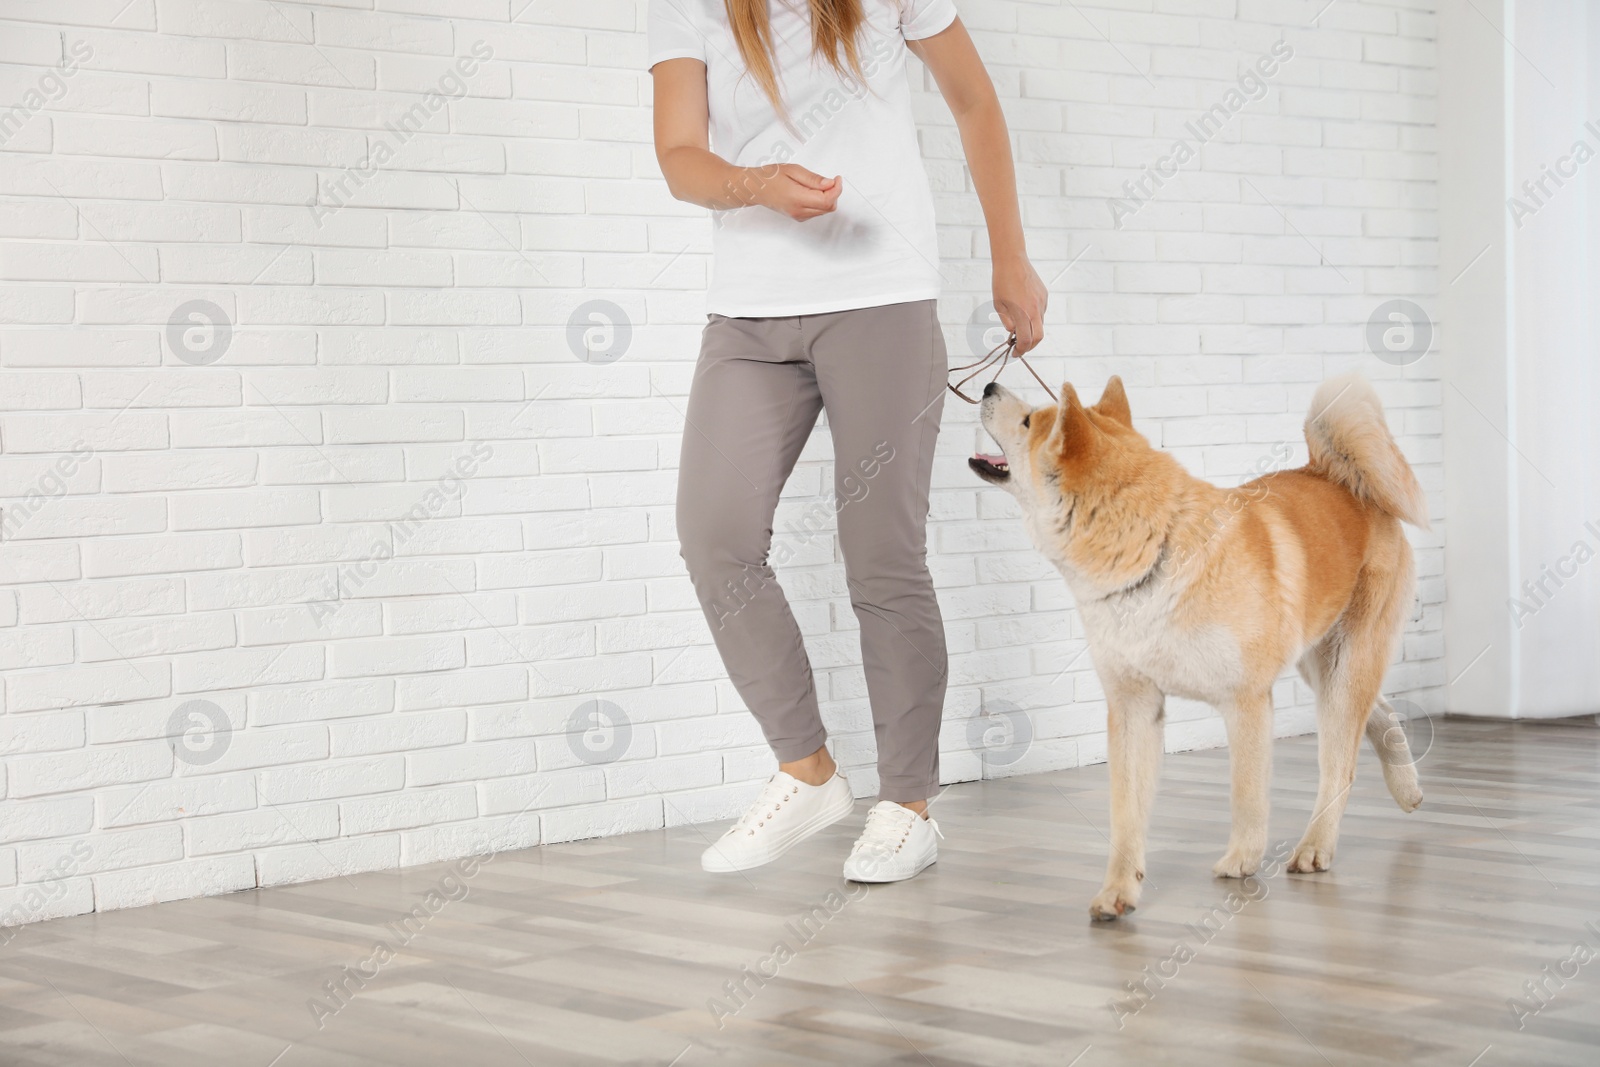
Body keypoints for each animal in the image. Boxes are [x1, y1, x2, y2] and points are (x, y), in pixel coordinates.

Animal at [966, 374, 1433, 921]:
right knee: (1378, 715)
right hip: (1319, 663)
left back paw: (1317, 845)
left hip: (1342, 664)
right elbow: (1126, 813)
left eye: (1028, 421)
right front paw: (1118, 890)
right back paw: (1407, 789)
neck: (1153, 552)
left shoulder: (1246, 701)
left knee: (1340, 760)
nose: (988, 385)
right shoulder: (1133, 707)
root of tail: (1336, 477)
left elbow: (1246, 794)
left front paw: (1243, 859)